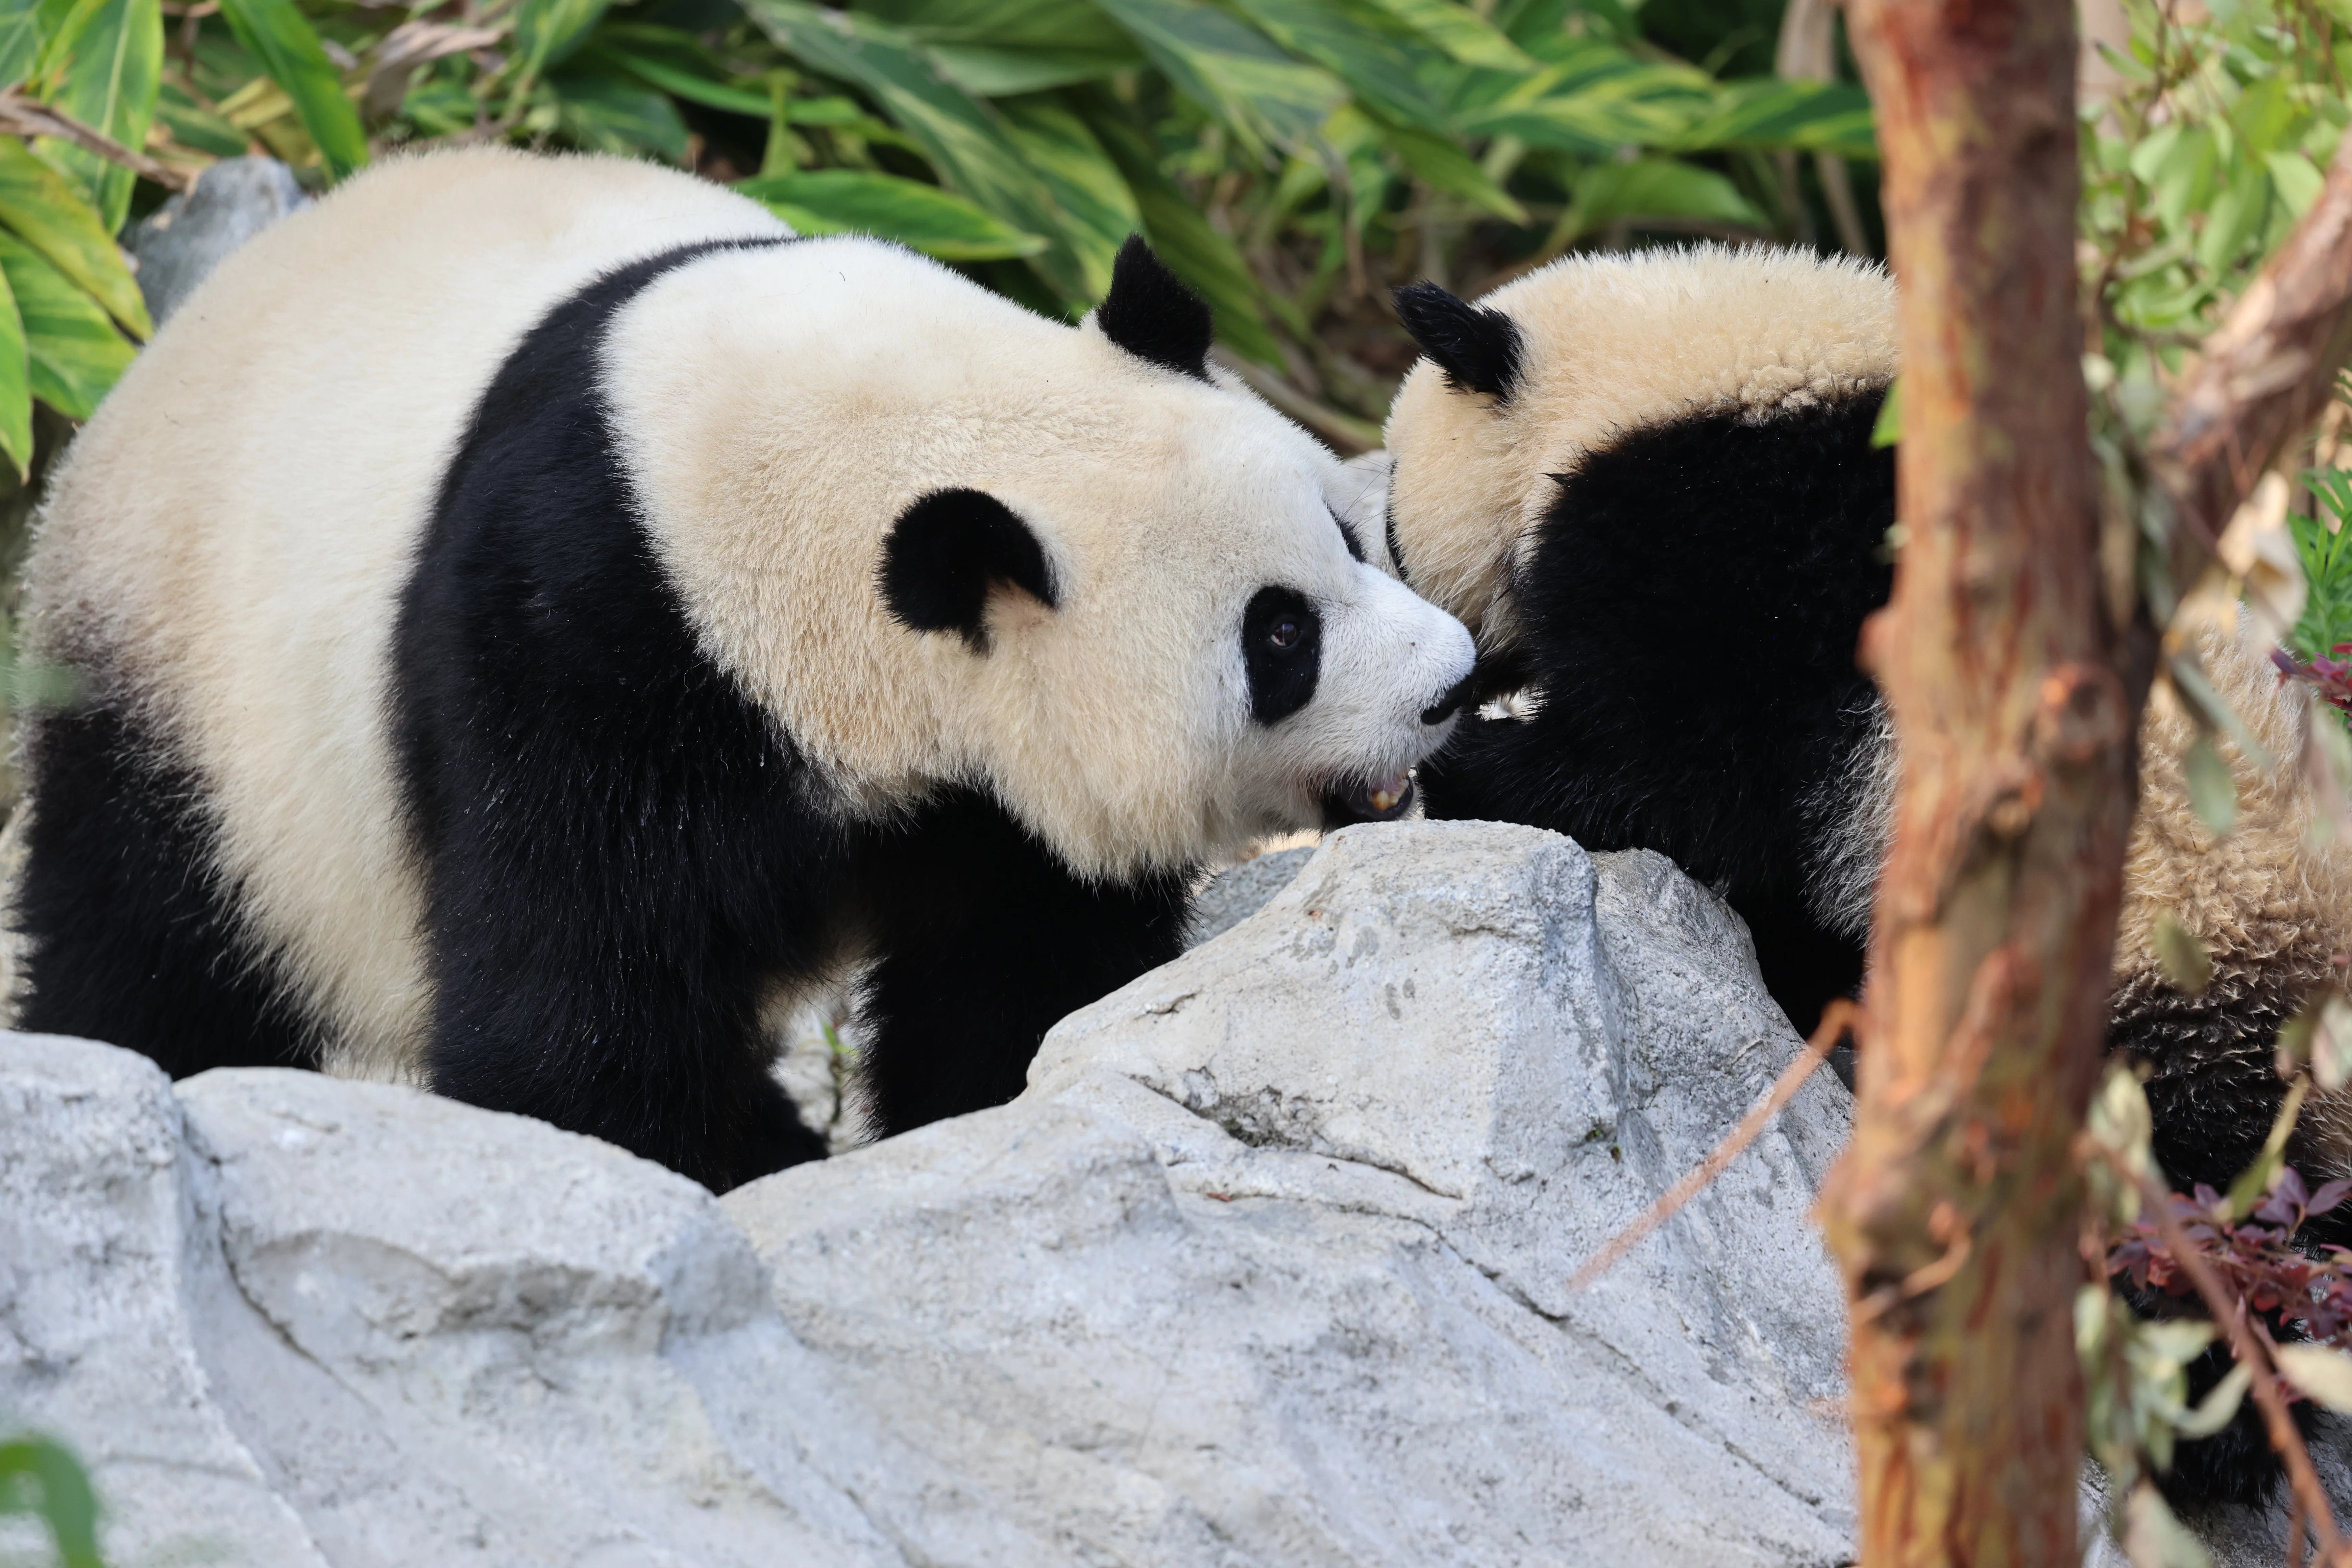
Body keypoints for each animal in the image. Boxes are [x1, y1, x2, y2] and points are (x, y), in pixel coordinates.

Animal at [12, 145, 1477, 1194]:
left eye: (1352, 533)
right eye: (1279, 636)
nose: (1450, 684)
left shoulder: (982, 783)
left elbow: (1020, 952)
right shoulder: (587, 635)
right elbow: (581, 971)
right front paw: (639, 1165)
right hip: (192, 680)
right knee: (149, 930)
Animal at [1369, 243, 2352, 1504]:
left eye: (1388, 528)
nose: (1440, 680)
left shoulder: (1735, 555)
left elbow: (1679, 780)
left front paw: (1469, 764)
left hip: (2181, 966)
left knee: (2189, 1195)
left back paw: (2193, 1416)